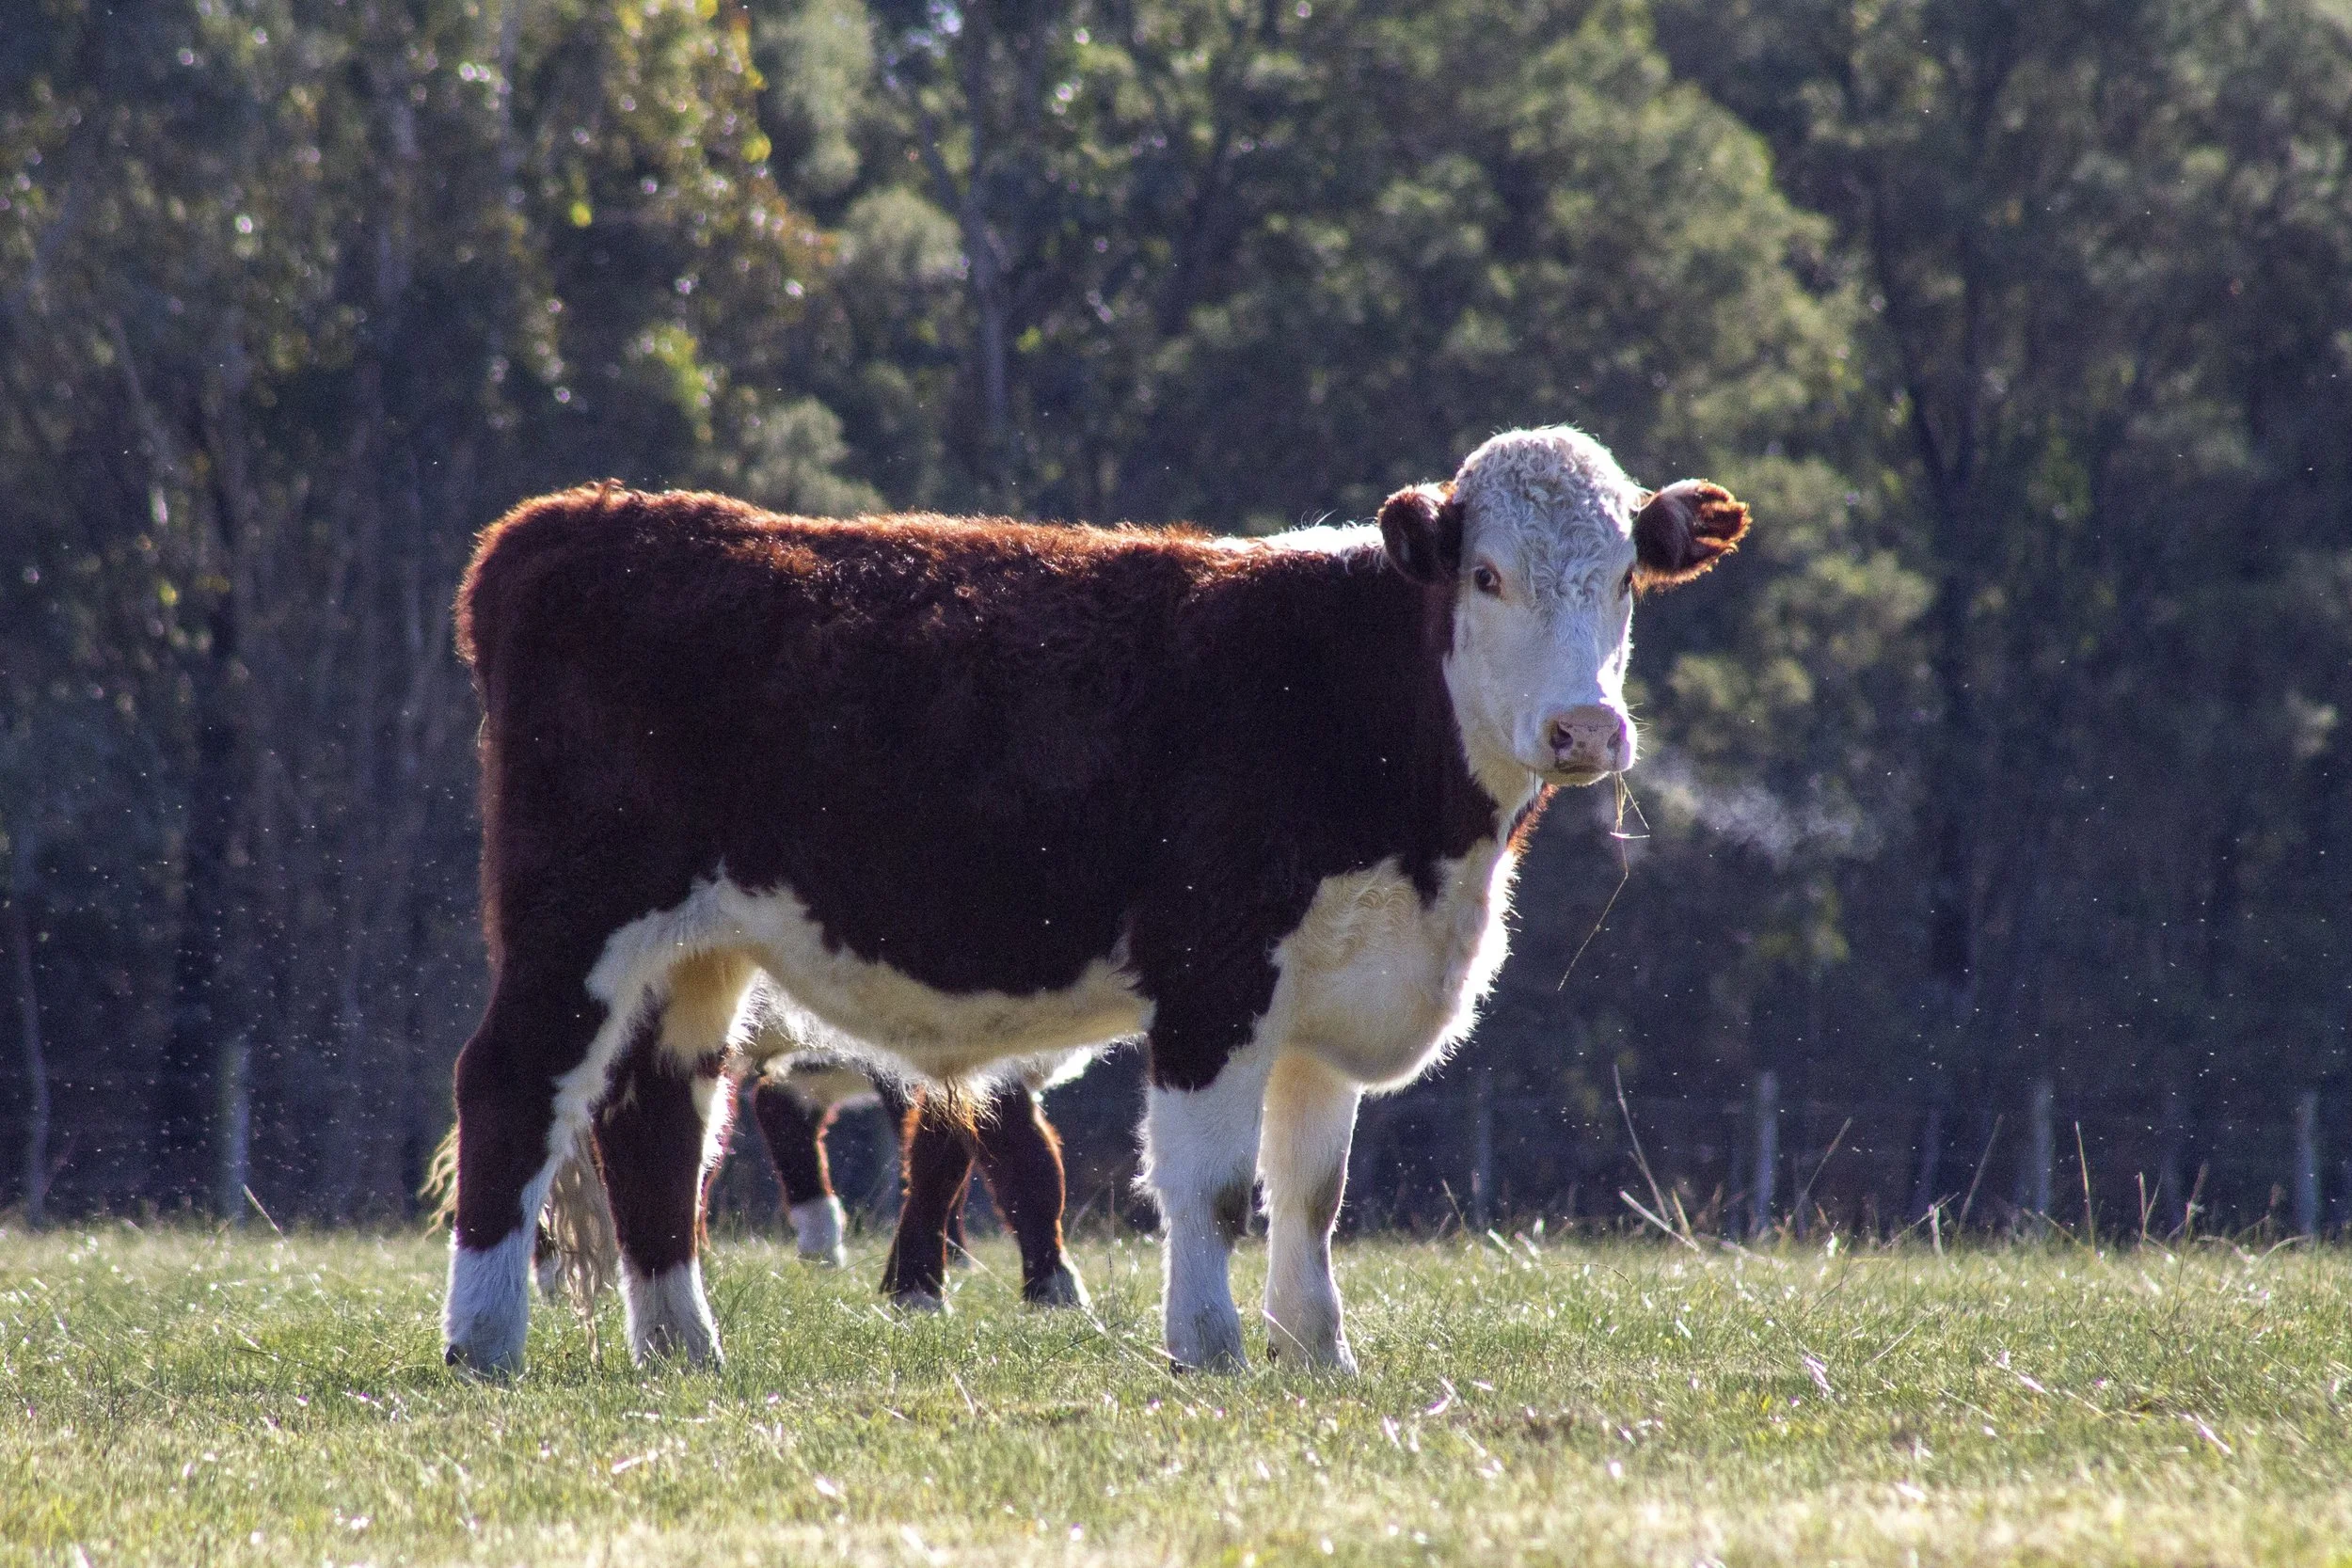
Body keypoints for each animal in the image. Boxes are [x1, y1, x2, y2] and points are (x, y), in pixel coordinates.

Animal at [440, 424, 1747, 1376]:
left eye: (1625, 578)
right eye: (1485, 573)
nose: (1585, 729)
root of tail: (580, 516)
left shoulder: (1332, 996)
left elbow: (1310, 1194)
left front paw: (1318, 1354)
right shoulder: (1215, 978)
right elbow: (1210, 1188)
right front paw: (1210, 1349)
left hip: (691, 953)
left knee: (656, 1117)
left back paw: (681, 1346)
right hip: (574, 918)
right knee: (511, 1084)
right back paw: (484, 1341)